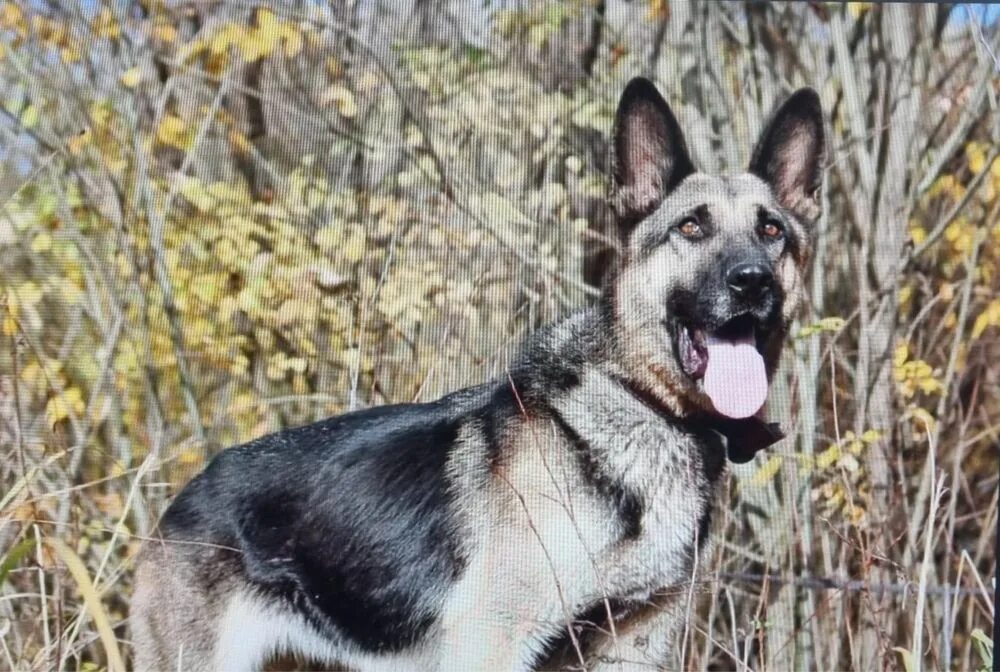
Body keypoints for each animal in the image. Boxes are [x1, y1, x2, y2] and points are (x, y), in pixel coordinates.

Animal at [129, 80, 824, 672]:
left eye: (771, 230)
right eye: (691, 227)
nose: (752, 282)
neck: (641, 406)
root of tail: (181, 502)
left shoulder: (633, 647)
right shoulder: (494, 646)